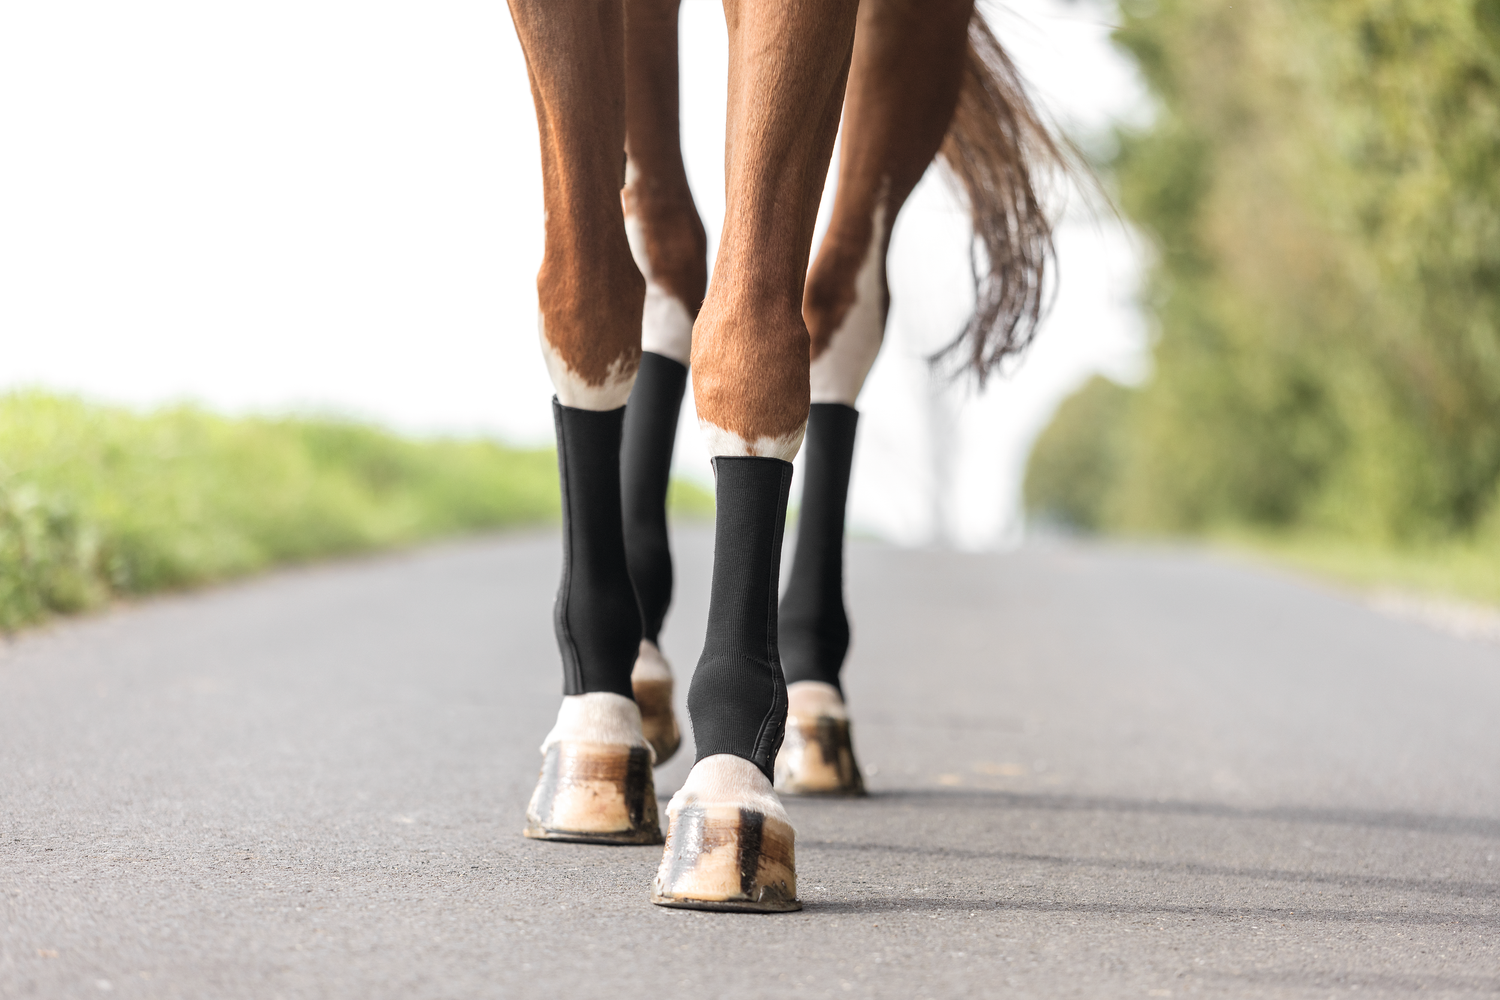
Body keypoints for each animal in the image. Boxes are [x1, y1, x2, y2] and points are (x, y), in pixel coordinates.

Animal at [509, 0, 1064, 912]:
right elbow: (586, 302)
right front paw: (597, 725)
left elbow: (755, 338)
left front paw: (730, 788)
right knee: (667, 250)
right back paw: (640, 674)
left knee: (839, 307)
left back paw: (809, 700)